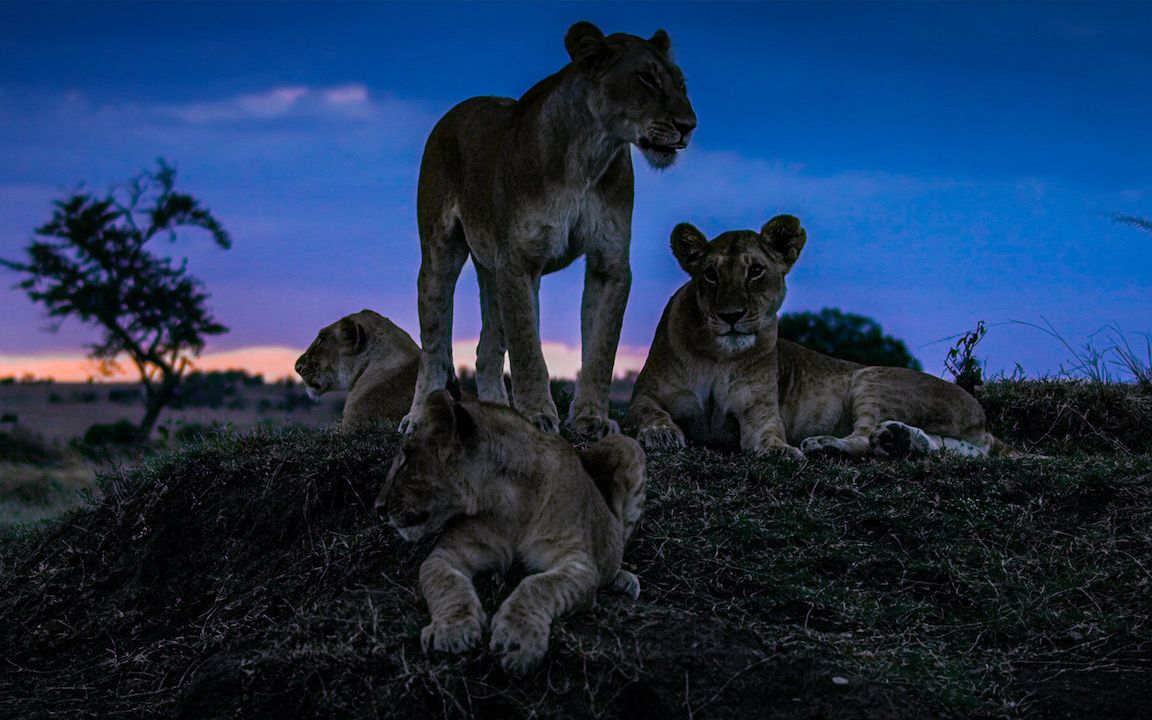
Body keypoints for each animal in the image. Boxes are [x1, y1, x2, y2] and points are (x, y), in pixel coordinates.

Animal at [377, 389, 649, 672]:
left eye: (406, 459)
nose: (378, 507)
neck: (506, 503)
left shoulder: (578, 563)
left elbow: (537, 585)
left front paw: (517, 640)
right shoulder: (446, 554)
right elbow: (445, 581)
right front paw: (451, 630)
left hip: (628, 445)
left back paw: (623, 580)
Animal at [400, 21, 695, 437]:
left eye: (681, 84)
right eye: (646, 79)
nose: (689, 126)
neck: (589, 156)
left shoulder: (609, 262)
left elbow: (601, 349)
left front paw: (591, 418)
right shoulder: (519, 261)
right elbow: (528, 349)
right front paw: (537, 415)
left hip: (493, 270)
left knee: (487, 350)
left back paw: (496, 413)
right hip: (442, 255)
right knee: (434, 346)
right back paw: (419, 415)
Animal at [626, 216, 1013, 458]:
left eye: (756, 271)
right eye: (710, 274)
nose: (731, 316)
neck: (718, 357)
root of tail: (980, 416)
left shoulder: (759, 412)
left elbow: (770, 432)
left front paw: (780, 450)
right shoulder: (644, 394)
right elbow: (649, 412)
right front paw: (661, 433)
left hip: (871, 378)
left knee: (863, 437)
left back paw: (829, 444)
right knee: (960, 450)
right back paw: (899, 439)